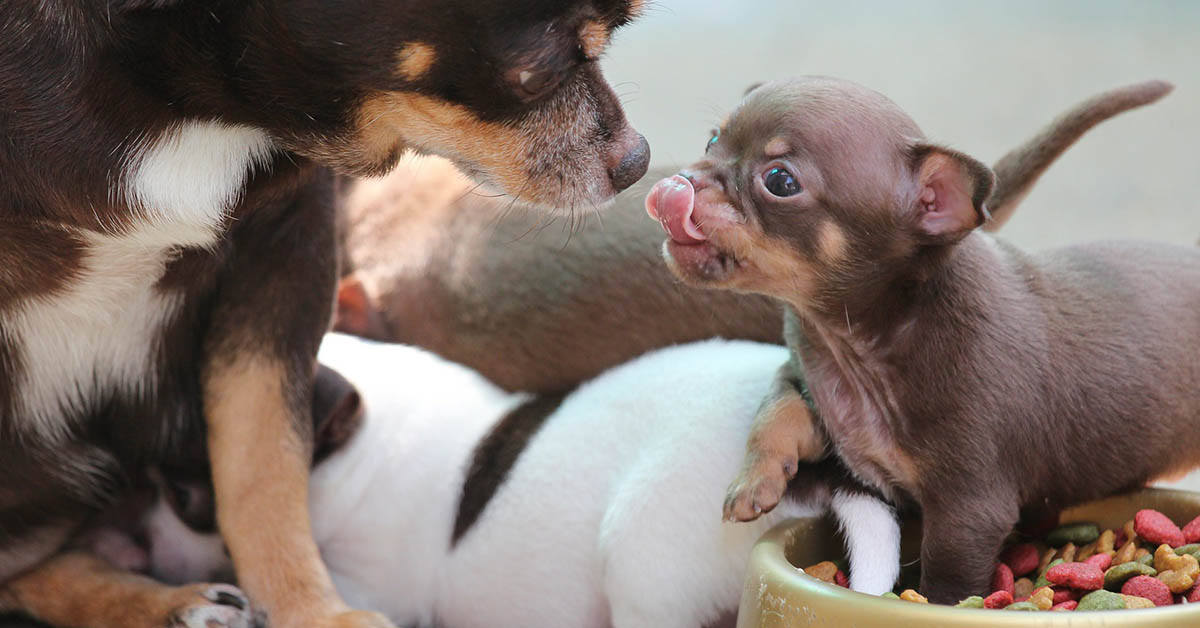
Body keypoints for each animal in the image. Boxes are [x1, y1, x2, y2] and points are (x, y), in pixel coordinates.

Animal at [0, 1, 648, 628]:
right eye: (536, 75)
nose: (637, 160)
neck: (192, 106)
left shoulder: (291, 241)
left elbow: (263, 460)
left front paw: (309, 610)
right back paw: (163, 601)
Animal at [652, 78, 1195, 605]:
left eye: (780, 182)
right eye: (713, 141)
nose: (677, 184)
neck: (856, 342)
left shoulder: (969, 508)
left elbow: (948, 581)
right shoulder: (805, 378)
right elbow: (776, 411)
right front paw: (754, 480)